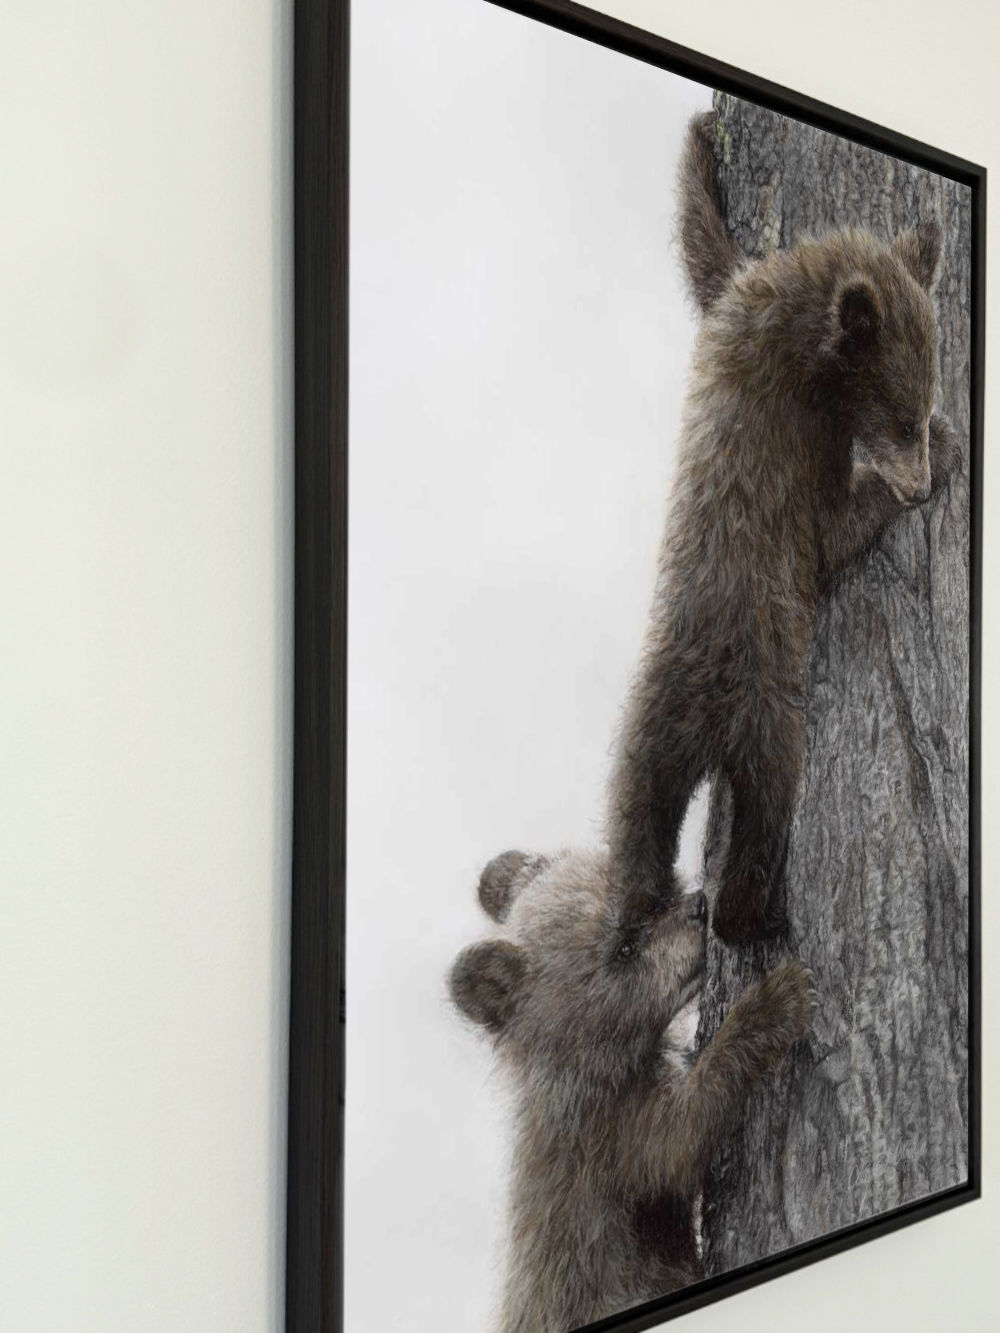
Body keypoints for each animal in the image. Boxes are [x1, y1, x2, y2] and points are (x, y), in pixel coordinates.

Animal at [450, 847, 814, 1333]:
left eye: (656, 899)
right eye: (624, 947)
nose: (700, 907)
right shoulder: (610, 1139)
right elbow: (680, 1138)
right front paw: (774, 1002)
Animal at [608, 111, 962, 944]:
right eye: (903, 418)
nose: (918, 480)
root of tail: (703, 718)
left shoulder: (738, 300)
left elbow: (706, 252)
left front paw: (699, 141)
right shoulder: (796, 443)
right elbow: (833, 525)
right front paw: (947, 450)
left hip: (646, 728)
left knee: (635, 820)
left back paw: (643, 903)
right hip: (767, 715)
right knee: (767, 812)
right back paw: (752, 915)